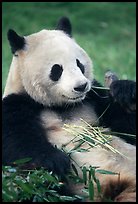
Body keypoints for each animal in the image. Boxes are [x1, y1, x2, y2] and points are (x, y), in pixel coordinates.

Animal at [2, 16, 136, 202]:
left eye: (79, 64)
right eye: (57, 69)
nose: (81, 86)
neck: (62, 106)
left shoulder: (95, 97)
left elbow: (127, 128)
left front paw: (125, 93)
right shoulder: (16, 104)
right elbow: (18, 142)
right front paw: (55, 162)